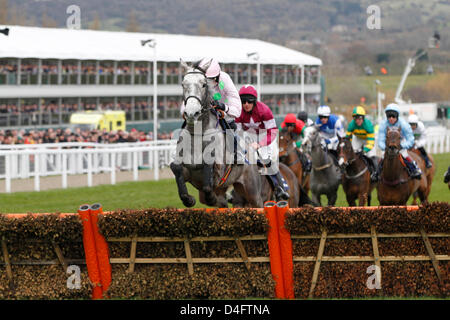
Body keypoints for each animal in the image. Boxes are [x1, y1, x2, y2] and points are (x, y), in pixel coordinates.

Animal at [169, 59, 264, 208]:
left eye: (203, 84)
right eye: (183, 84)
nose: (191, 113)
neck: (198, 135)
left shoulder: (218, 172)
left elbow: (209, 174)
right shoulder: (188, 171)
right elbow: (176, 168)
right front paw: (188, 199)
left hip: (252, 190)